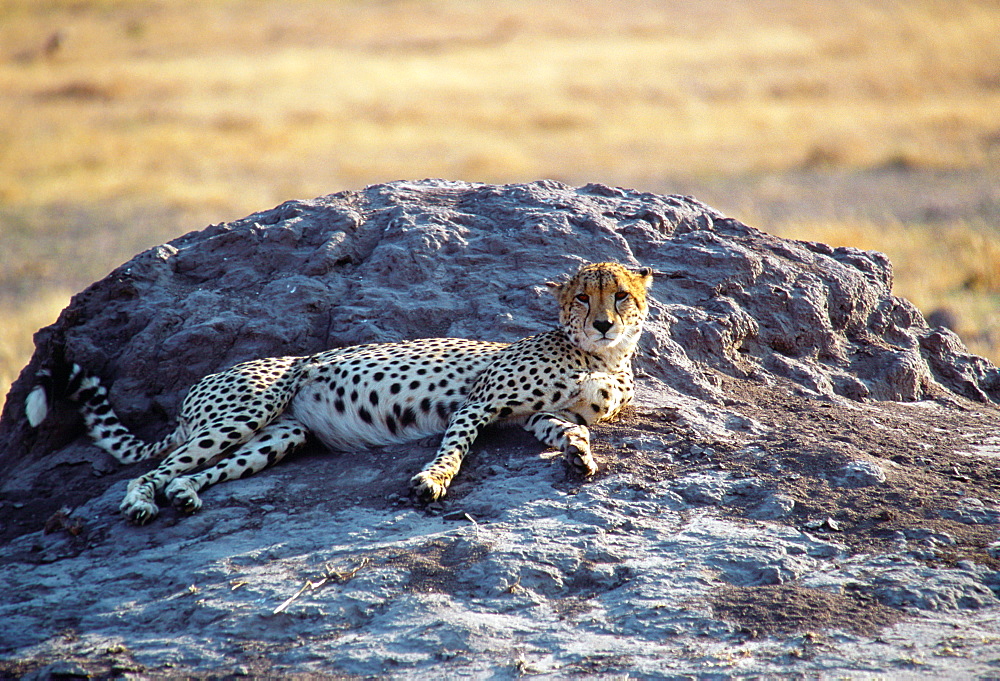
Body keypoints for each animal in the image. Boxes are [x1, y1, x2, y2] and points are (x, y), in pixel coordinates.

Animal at [25, 262, 656, 524]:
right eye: (583, 298)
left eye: (620, 296)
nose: (604, 323)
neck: (601, 357)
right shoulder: (477, 403)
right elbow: (453, 450)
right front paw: (432, 481)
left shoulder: (534, 416)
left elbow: (567, 428)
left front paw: (579, 456)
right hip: (245, 412)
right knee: (151, 471)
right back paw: (138, 504)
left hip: (280, 436)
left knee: (192, 473)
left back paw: (182, 497)